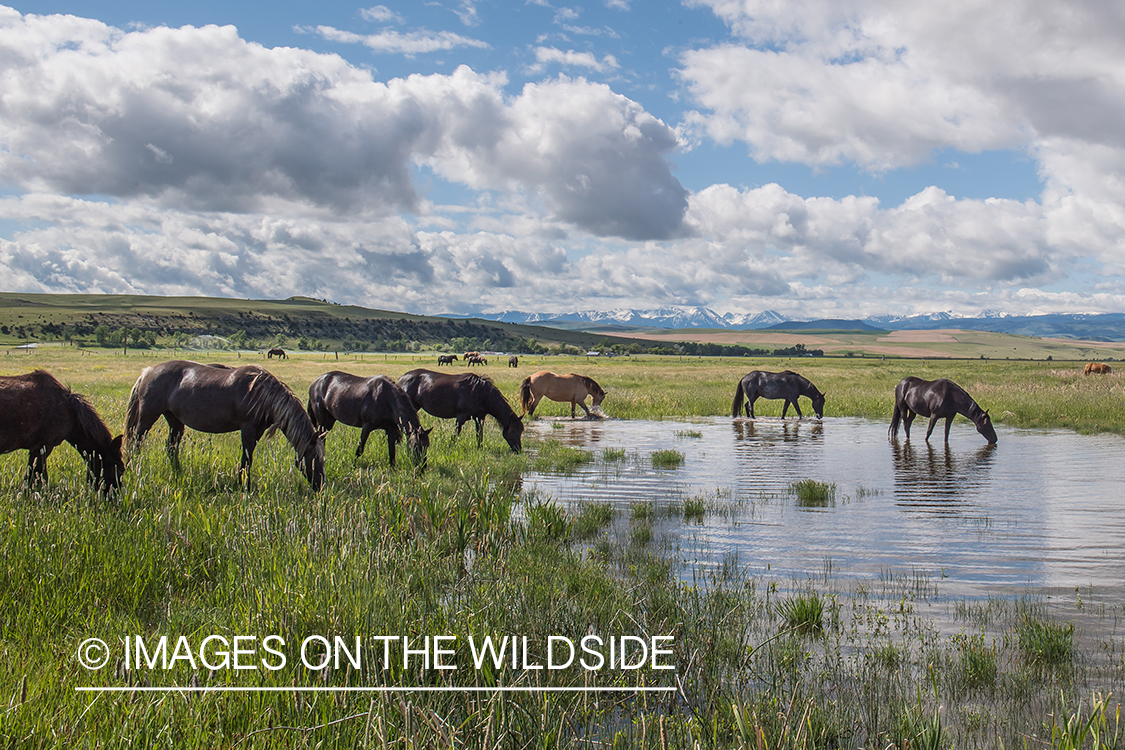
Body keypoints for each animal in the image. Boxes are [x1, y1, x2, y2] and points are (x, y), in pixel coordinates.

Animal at [126, 359, 326, 490]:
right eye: (314, 459)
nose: (321, 486)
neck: (263, 395)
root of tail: (148, 371)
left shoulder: (259, 431)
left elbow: (248, 456)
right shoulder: (248, 428)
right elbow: (247, 457)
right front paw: (244, 485)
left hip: (175, 421)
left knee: (171, 447)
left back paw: (178, 473)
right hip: (148, 416)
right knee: (136, 442)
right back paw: (133, 468)